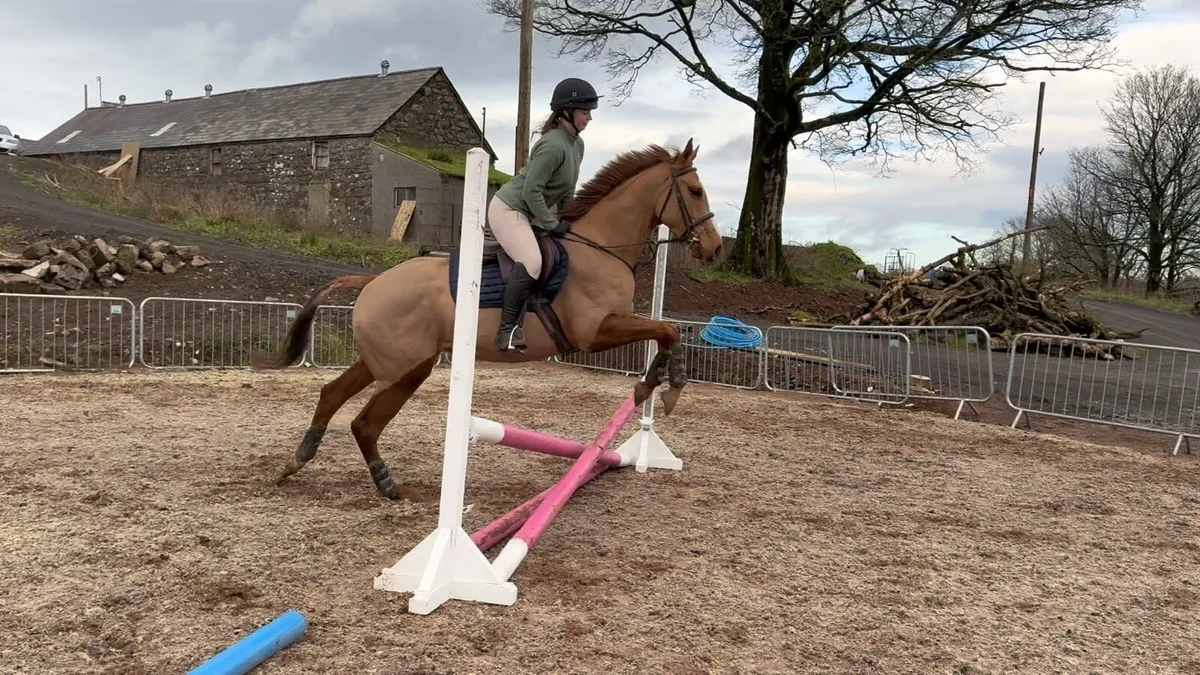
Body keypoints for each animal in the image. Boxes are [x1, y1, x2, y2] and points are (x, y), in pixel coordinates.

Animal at [252, 138, 723, 500]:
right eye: (696, 190)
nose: (714, 248)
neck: (601, 246)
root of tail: (373, 280)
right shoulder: (594, 332)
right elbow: (667, 329)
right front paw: (665, 387)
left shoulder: (611, 324)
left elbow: (665, 331)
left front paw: (659, 383)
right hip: (405, 367)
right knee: (362, 420)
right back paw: (381, 483)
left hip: (390, 363)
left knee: (338, 399)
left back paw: (306, 462)